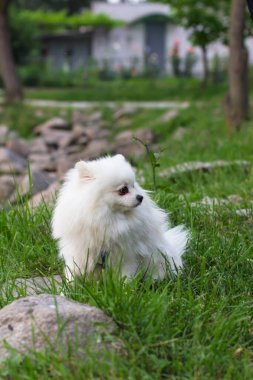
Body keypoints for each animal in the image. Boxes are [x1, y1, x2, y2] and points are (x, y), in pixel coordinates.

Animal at [51, 154, 188, 282]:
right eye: (123, 190)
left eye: (133, 186)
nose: (140, 197)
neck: (107, 218)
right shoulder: (79, 253)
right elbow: (72, 273)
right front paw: (67, 289)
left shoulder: (127, 255)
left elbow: (125, 276)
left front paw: (126, 288)